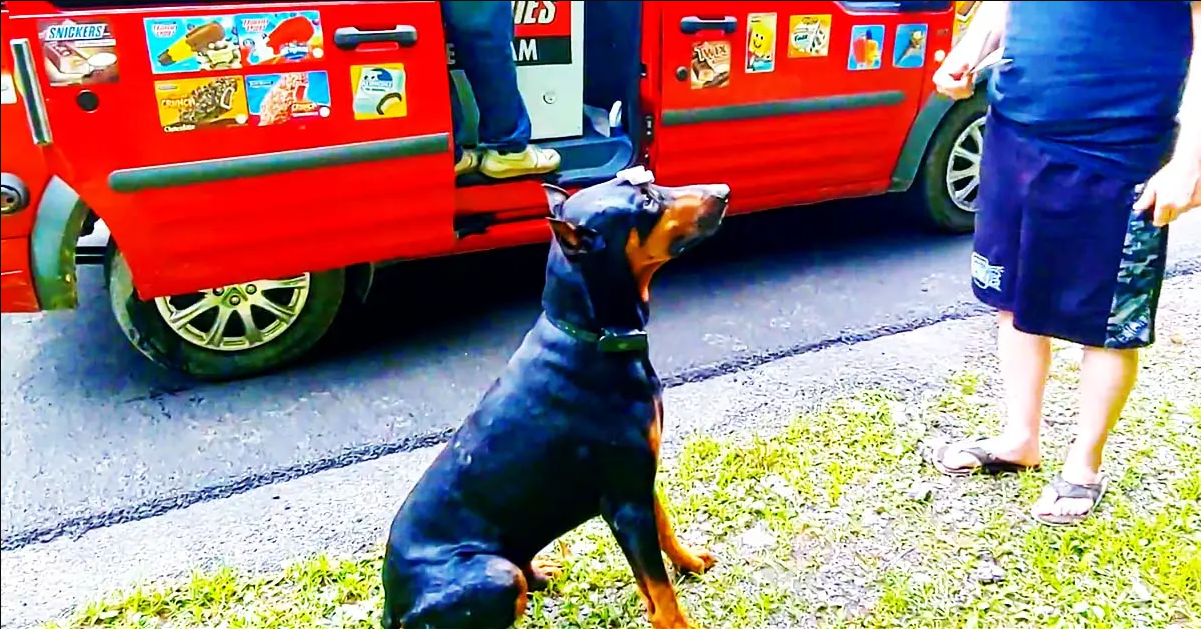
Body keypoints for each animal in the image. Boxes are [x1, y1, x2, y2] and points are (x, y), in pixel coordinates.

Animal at [379, 168, 725, 629]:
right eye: (648, 201)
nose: (724, 191)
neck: (595, 338)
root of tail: (392, 605)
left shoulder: (640, 478)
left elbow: (665, 530)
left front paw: (690, 563)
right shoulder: (625, 500)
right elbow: (659, 589)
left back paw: (542, 573)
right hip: (496, 573)